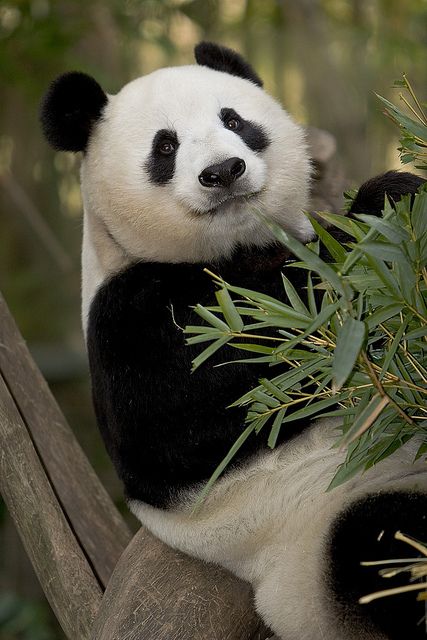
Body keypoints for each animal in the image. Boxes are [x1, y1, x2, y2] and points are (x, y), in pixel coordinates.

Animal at [41, 42, 427, 636]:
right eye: (166, 146)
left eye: (234, 121)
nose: (223, 171)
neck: (236, 248)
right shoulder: (125, 315)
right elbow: (201, 398)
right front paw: (382, 207)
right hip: (324, 532)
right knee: (382, 552)